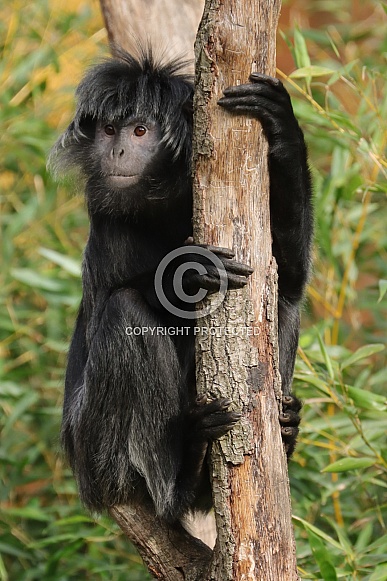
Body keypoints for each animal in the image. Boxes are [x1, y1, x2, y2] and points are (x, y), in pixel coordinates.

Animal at [50, 48, 312, 520]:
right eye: (110, 130)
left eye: (140, 131)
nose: (117, 148)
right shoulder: (108, 220)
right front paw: (188, 270)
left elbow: (290, 277)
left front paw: (283, 123)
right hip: (97, 452)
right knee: (124, 311)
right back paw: (182, 481)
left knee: (282, 300)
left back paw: (281, 433)